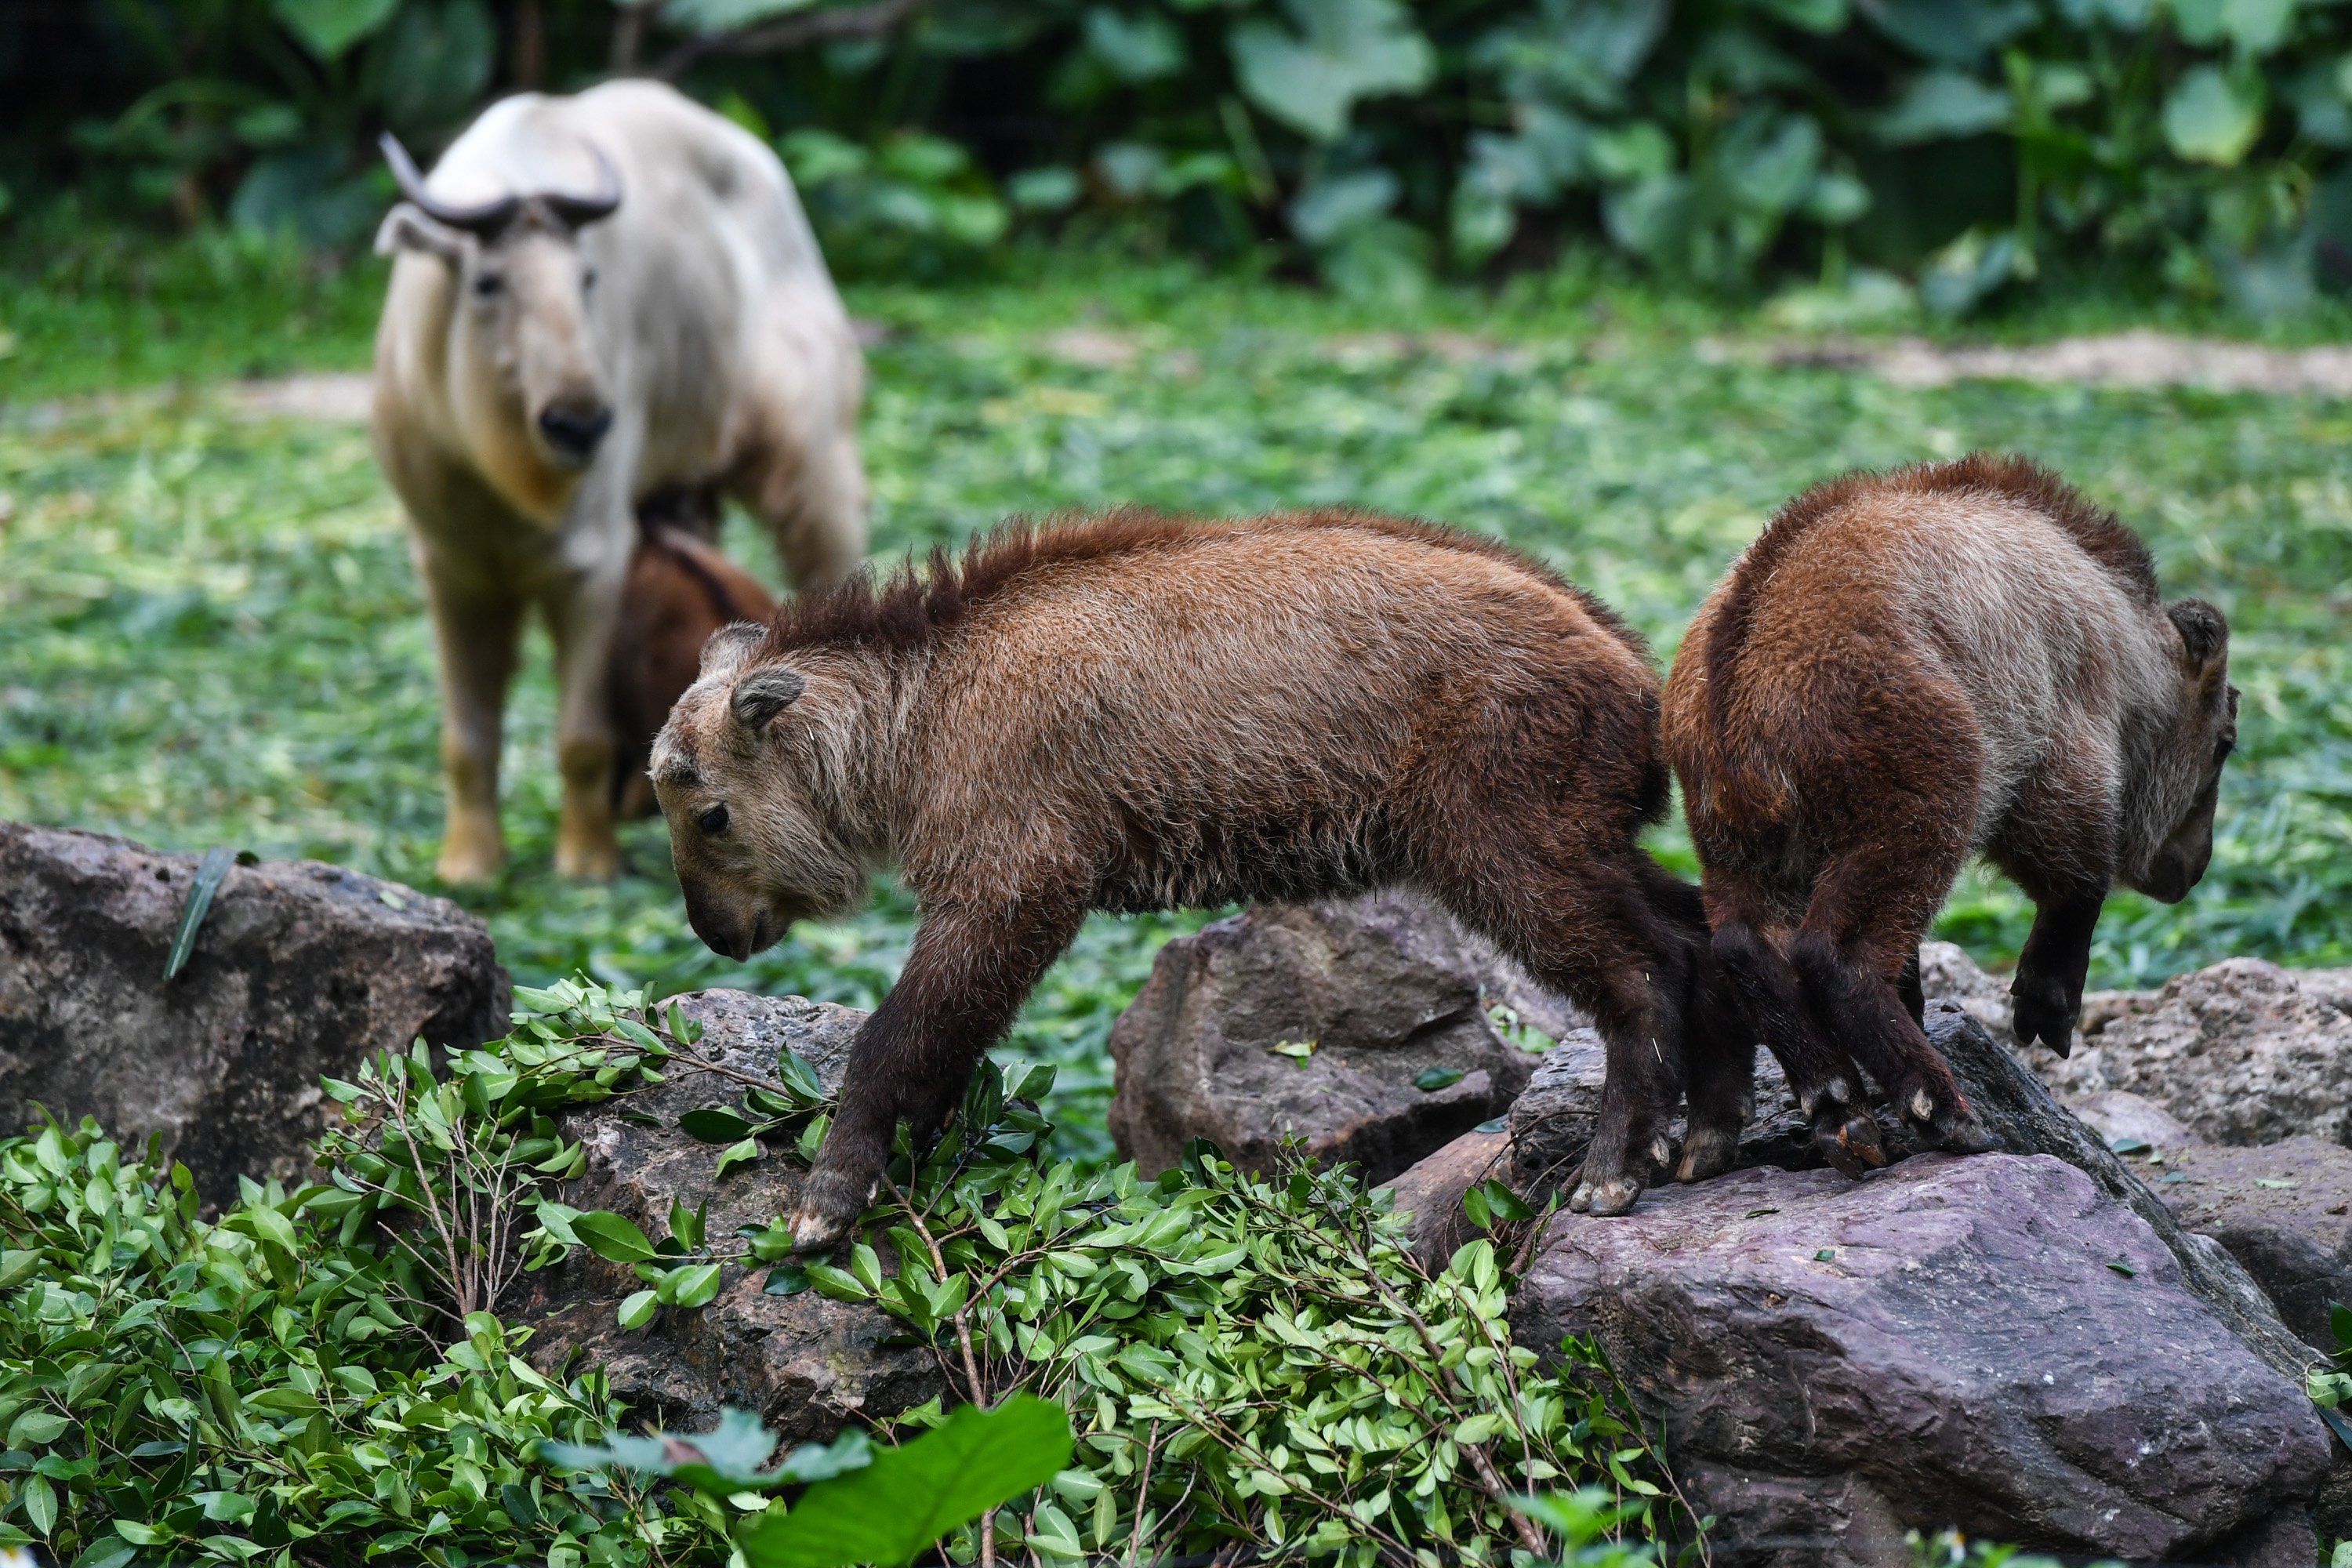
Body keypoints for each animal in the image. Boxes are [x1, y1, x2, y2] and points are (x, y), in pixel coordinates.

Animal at [654, 510, 1740, 1241]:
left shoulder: (1012, 884)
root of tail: (1641, 684)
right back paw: (1707, 1135)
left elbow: (896, 1033)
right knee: (1699, 937)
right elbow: (948, 1042)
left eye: (710, 811)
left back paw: (1614, 1165)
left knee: (1641, 969)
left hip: (1504, 849)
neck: (926, 705)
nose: (717, 933)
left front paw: (830, 1195)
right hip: (1583, 839)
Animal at [1665, 453, 2230, 1175]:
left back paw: (1837, 1104)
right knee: (1837, 950)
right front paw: (2047, 1004)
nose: (2192, 866)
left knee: (1744, 942)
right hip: (1921, 783)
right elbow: (2074, 868)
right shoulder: (2061, 733)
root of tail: (1736, 690)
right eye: (2225, 742)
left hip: (1731, 839)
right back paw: (1937, 1104)